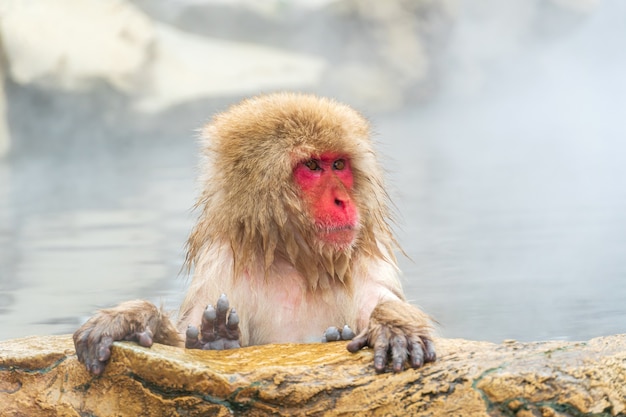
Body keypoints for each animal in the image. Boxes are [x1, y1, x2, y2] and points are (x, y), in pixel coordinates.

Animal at [73, 92, 434, 376]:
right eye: (312, 166)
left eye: (338, 165)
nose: (343, 200)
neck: (299, 262)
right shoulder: (220, 265)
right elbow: (181, 347)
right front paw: (134, 319)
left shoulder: (366, 261)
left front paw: (394, 323)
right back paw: (218, 339)